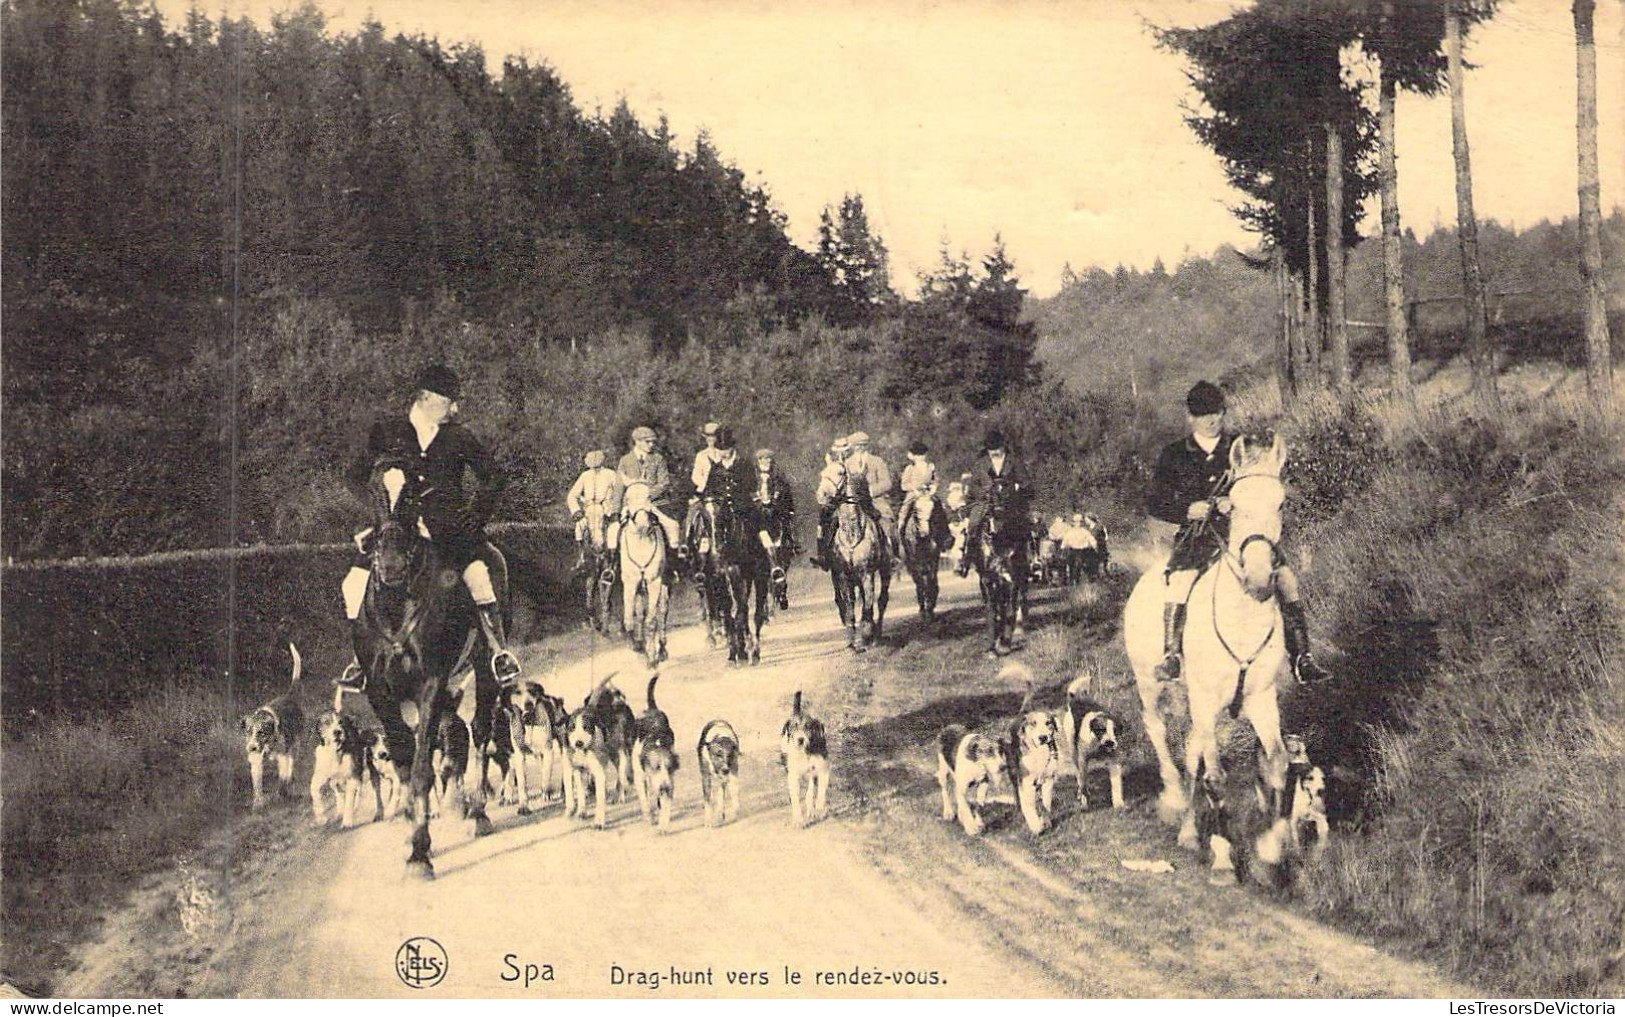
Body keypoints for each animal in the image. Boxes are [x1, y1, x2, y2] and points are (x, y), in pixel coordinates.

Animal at [620, 480, 672, 669]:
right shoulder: (630, 584)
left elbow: (651, 621)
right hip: (640, 590)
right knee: (641, 614)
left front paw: (651, 658)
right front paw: (639, 646)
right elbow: (629, 619)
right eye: (627, 498)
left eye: (649, 496)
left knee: (661, 612)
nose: (643, 524)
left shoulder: (654, 582)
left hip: (663, 584)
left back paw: (661, 650)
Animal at [1124, 432, 1300, 883]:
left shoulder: (1261, 700)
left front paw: (1271, 852)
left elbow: (1277, 764)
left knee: (1191, 751)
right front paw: (1223, 859)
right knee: (1158, 730)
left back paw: (1189, 829)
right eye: (1233, 505)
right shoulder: (1205, 701)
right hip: (1152, 684)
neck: (1242, 618)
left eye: (1281, 503)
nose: (1259, 578)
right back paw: (1172, 799)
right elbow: (1217, 777)